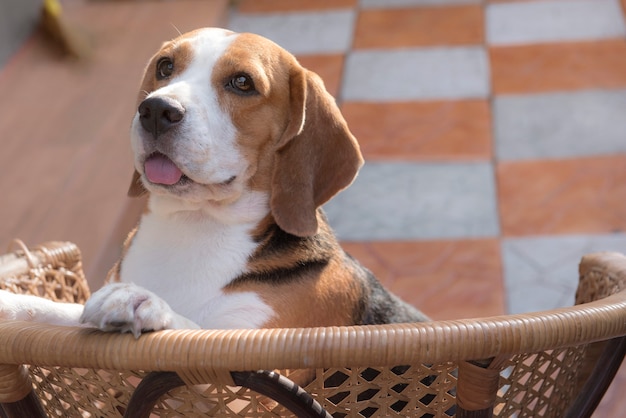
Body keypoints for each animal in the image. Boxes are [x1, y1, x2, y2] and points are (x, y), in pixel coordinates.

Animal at [0, 27, 424, 336]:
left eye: (242, 82)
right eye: (165, 66)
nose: (156, 109)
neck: (194, 225)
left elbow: (192, 328)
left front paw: (144, 303)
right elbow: (59, 311)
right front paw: (13, 303)